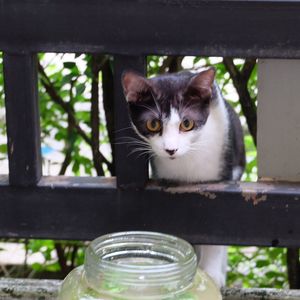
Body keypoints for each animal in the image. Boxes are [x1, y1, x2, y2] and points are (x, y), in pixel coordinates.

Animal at [120, 67, 245, 288]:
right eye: (153, 124)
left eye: (187, 123)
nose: (171, 149)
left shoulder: (220, 179)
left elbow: (218, 225)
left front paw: (211, 274)